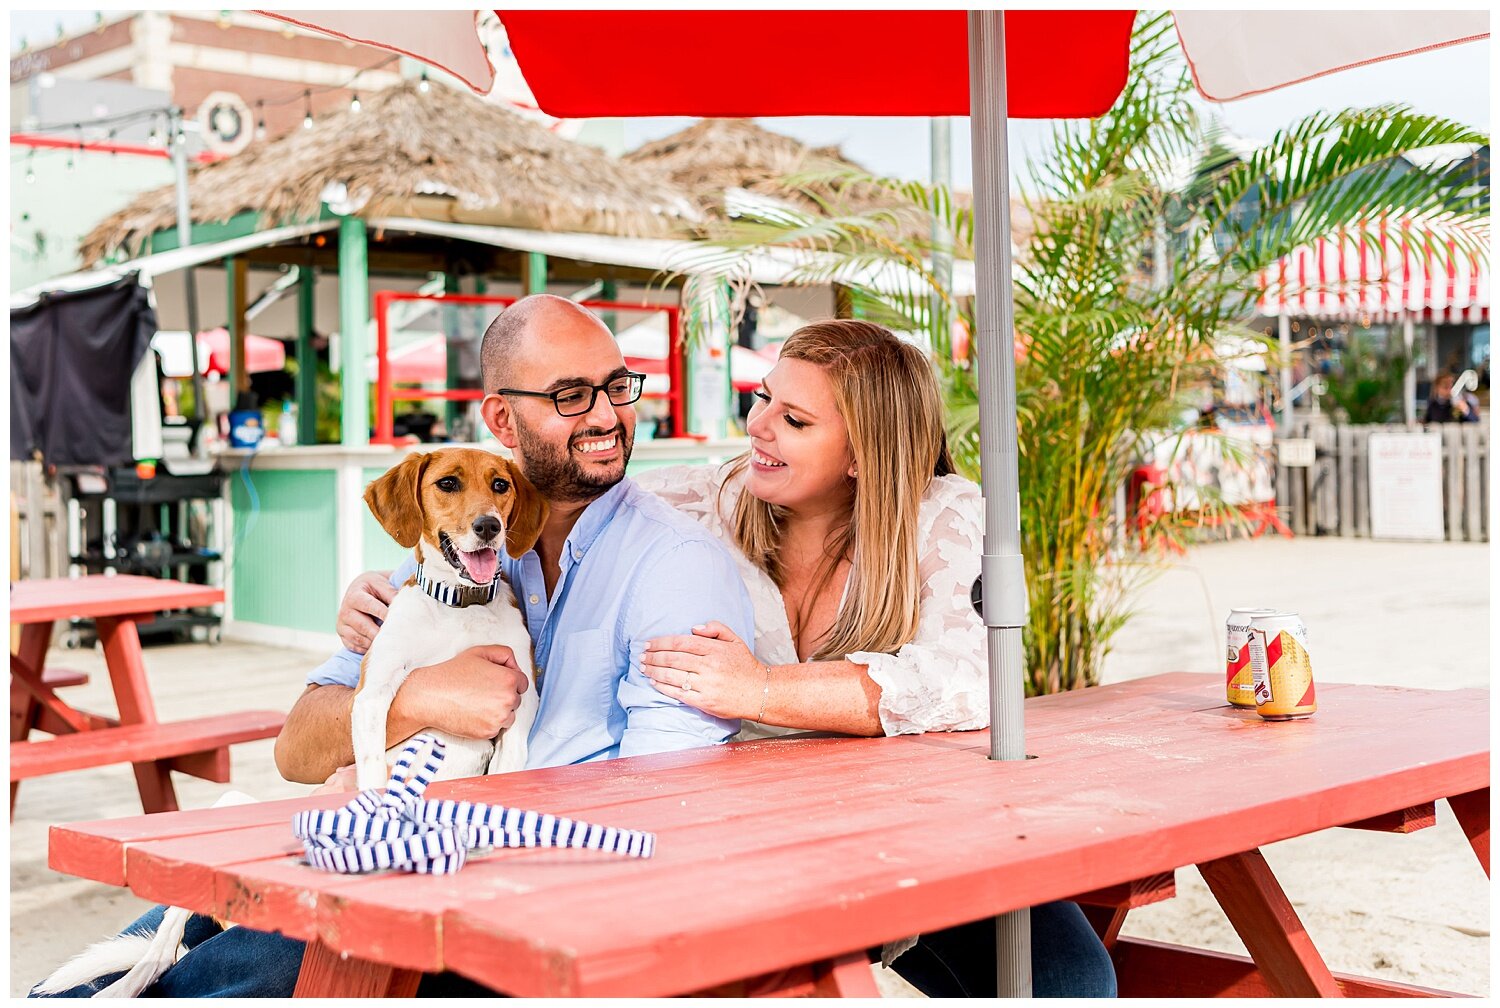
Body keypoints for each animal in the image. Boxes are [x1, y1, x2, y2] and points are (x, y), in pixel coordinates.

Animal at [355, 453, 552, 792]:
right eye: (447, 483)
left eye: (500, 484)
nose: (489, 525)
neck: (459, 604)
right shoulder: (372, 693)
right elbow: (372, 773)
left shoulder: (524, 700)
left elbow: (508, 766)